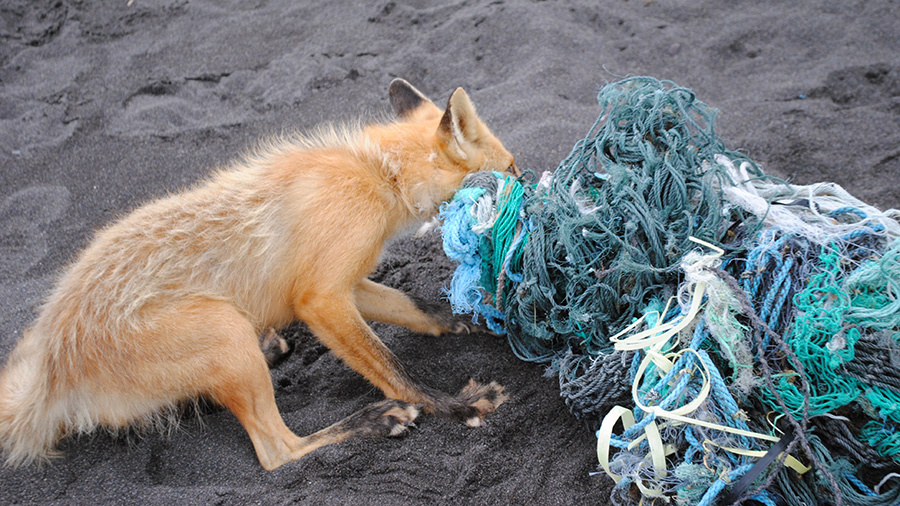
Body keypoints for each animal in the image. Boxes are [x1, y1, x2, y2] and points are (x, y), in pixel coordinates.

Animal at [0, 78, 512, 470]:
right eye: (511, 168)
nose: (528, 184)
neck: (378, 172)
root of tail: (51, 365)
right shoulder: (320, 299)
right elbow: (394, 370)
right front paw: (455, 406)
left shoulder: (338, 283)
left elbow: (420, 309)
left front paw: (478, 317)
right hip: (223, 328)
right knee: (277, 452)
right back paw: (371, 421)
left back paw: (266, 351)